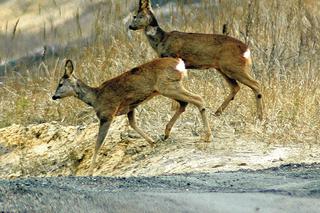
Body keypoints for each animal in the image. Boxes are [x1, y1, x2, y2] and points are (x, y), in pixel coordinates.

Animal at [52, 57, 212, 175]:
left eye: (60, 83)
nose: (53, 96)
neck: (95, 98)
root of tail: (179, 63)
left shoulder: (107, 114)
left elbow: (98, 144)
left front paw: (90, 172)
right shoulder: (130, 108)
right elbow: (133, 124)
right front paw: (152, 142)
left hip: (168, 86)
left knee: (198, 99)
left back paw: (207, 136)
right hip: (169, 87)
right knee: (184, 104)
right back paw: (166, 133)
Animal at [129, 0, 264, 120]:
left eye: (138, 16)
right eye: (134, 16)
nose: (130, 26)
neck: (162, 40)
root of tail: (246, 49)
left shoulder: (173, 58)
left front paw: (173, 108)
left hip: (233, 66)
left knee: (255, 84)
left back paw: (260, 116)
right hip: (223, 68)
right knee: (235, 87)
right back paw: (217, 112)